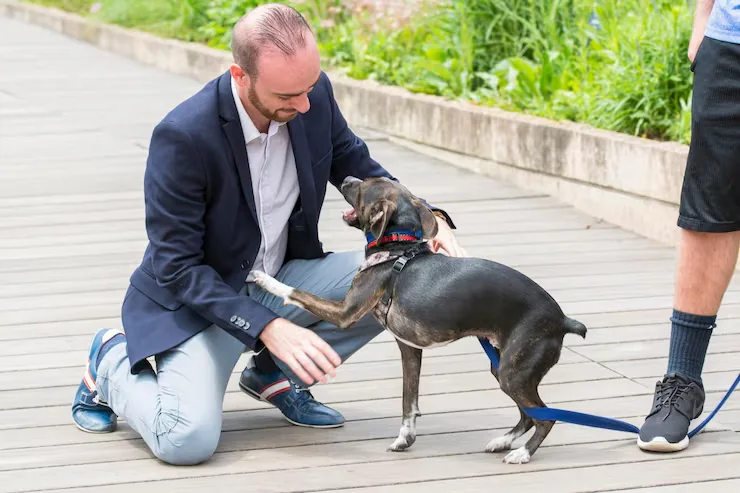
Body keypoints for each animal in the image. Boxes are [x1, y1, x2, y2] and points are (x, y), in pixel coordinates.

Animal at [251, 175, 587, 464]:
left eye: (363, 188)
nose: (346, 178)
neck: (398, 249)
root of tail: (562, 320)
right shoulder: (410, 349)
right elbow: (408, 401)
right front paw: (405, 438)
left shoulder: (345, 312)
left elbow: (296, 292)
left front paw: (264, 279)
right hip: (503, 367)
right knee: (530, 414)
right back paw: (502, 441)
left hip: (512, 372)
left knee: (546, 416)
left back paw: (522, 453)